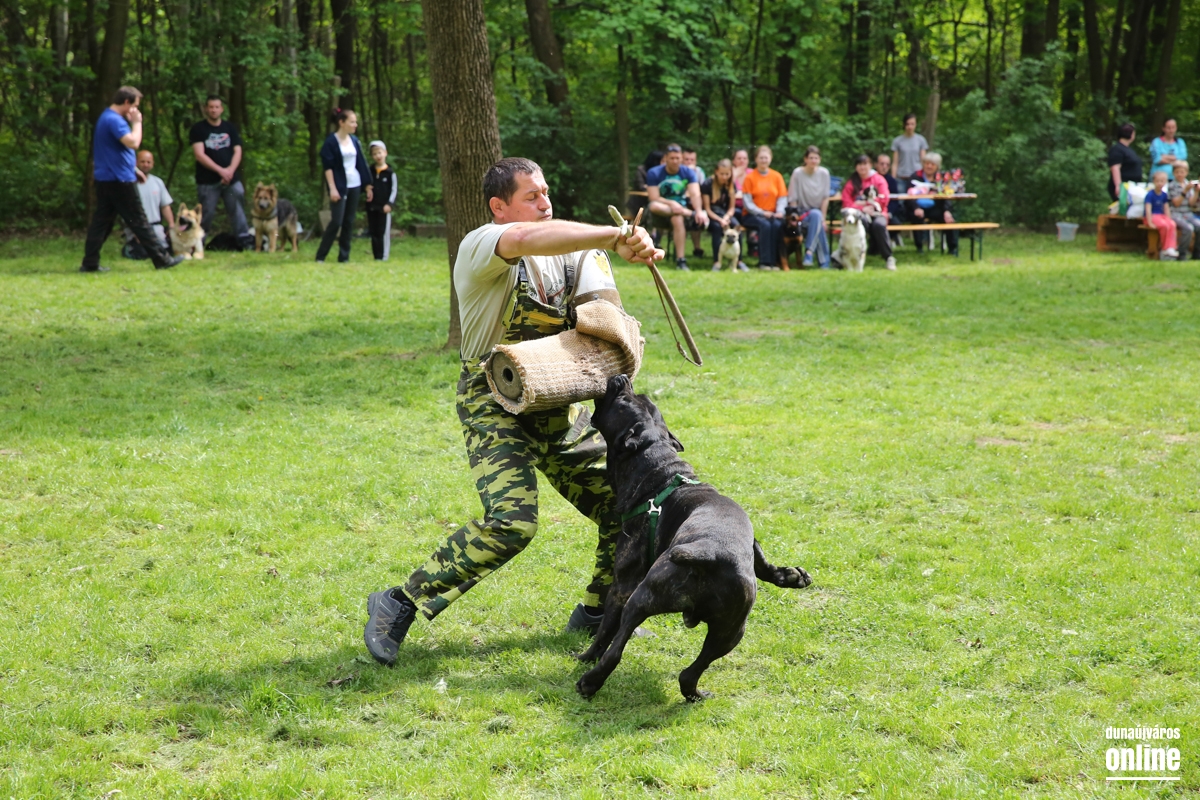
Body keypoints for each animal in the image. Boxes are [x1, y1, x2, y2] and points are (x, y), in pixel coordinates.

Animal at [576, 375, 812, 702]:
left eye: (625, 401)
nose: (622, 379)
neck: (659, 472)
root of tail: (708, 554)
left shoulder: (622, 586)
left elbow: (605, 631)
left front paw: (587, 656)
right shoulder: (752, 546)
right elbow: (764, 563)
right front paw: (791, 576)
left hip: (640, 599)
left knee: (615, 650)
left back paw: (590, 681)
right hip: (730, 632)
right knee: (690, 672)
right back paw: (696, 694)